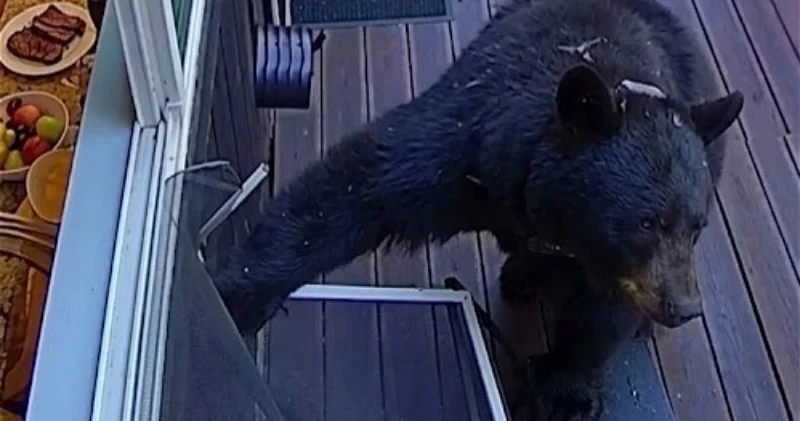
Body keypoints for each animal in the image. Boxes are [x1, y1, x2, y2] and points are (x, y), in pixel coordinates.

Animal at [211, 0, 743, 419]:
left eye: (697, 227)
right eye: (646, 222)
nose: (685, 307)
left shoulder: (612, 262)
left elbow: (602, 312)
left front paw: (567, 391)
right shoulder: (470, 144)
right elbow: (359, 188)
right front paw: (239, 294)